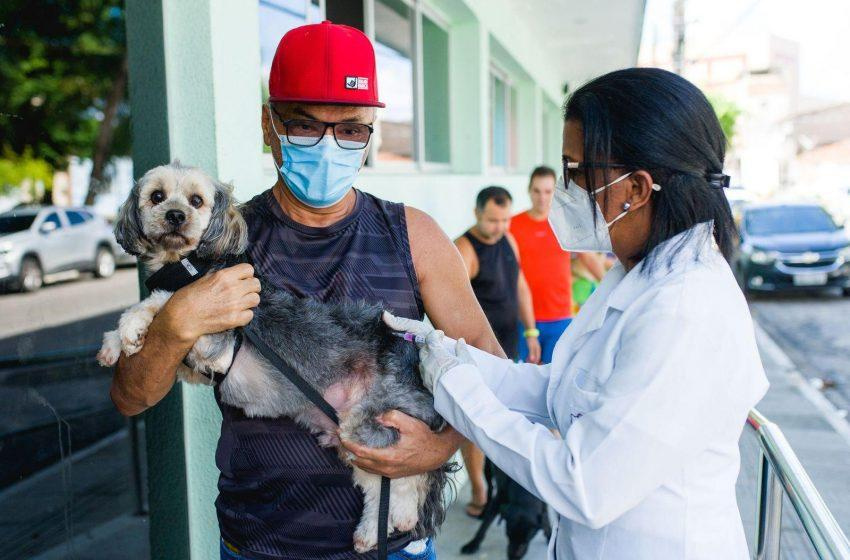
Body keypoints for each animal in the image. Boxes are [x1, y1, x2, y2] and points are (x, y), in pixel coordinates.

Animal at [98, 161, 448, 552]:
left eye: (196, 200)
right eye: (156, 196)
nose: (175, 215)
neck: (190, 267)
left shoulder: (216, 345)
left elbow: (165, 300)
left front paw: (131, 323)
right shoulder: (196, 366)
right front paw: (116, 342)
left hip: (368, 422)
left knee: (407, 476)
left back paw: (387, 522)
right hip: (351, 435)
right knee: (384, 486)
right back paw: (379, 528)